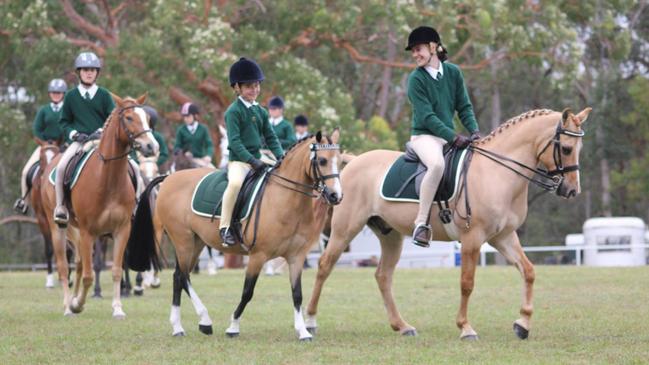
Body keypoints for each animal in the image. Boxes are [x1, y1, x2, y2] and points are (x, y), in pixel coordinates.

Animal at [42, 93, 158, 316]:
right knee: (64, 266)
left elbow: (116, 270)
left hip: (76, 231)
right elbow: (89, 274)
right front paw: (78, 304)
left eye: (147, 118)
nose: (151, 147)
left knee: (78, 263)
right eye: (129, 118)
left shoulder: (122, 230)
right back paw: (68, 305)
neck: (108, 178)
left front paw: (117, 308)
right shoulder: (89, 232)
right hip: (58, 228)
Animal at [132, 130, 344, 338]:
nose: (336, 196)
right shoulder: (258, 256)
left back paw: (184, 326)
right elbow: (247, 292)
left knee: (179, 277)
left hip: (196, 243)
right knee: (182, 277)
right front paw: (233, 327)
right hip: (183, 241)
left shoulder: (296, 257)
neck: (286, 200)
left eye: (340, 160)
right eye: (322, 160)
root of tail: (169, 178)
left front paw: (303, 331)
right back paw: (197, 322)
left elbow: (297, 294)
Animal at [306, 107, 588, 338]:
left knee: (383, 276)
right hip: (344, 231)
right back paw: (309, 322)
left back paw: (402, 326)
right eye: (565, 148)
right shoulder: (473, 239)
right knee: (324, 267)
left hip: (390, 236)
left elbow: (528, 271)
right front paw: (465, 328)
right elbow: (467, 283)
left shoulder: (504, 236)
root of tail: (355, 161)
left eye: (579, 149)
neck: (497, 173)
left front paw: (523, 324)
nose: (572, 190)